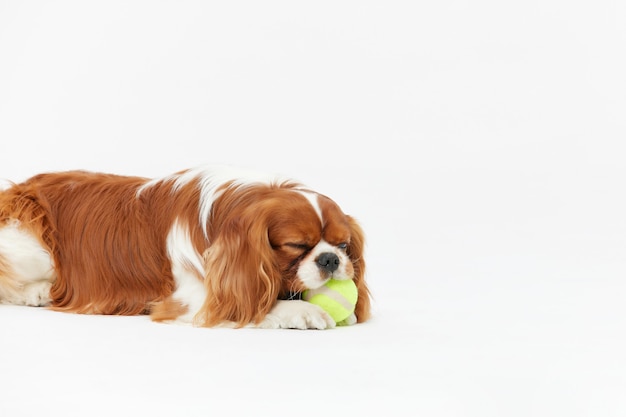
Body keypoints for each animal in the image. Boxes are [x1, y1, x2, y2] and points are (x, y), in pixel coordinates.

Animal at [0, 166, 368, 328]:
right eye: (296, 245)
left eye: (343, 244)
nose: (330, 260)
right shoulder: (186, 299)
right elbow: (245, 305)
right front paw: (300, 311)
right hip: (32, 243)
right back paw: (39, 292)